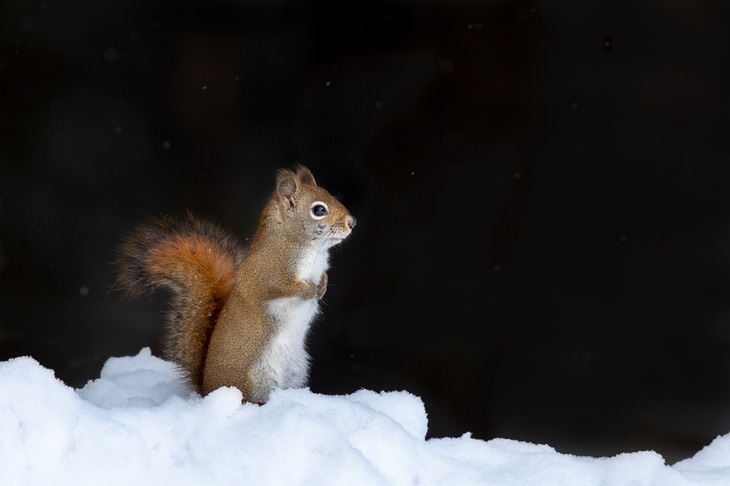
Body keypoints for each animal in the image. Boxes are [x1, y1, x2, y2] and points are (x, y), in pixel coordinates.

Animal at [116, 167, 356, 402]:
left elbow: (323, 277)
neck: (307, 247)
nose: (352, 223)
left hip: (295, 372)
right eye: (319, 210)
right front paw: (309, 290)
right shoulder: (267, 274)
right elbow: (283, 288)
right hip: (249, 378)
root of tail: (207, 390)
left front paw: (322, 286)